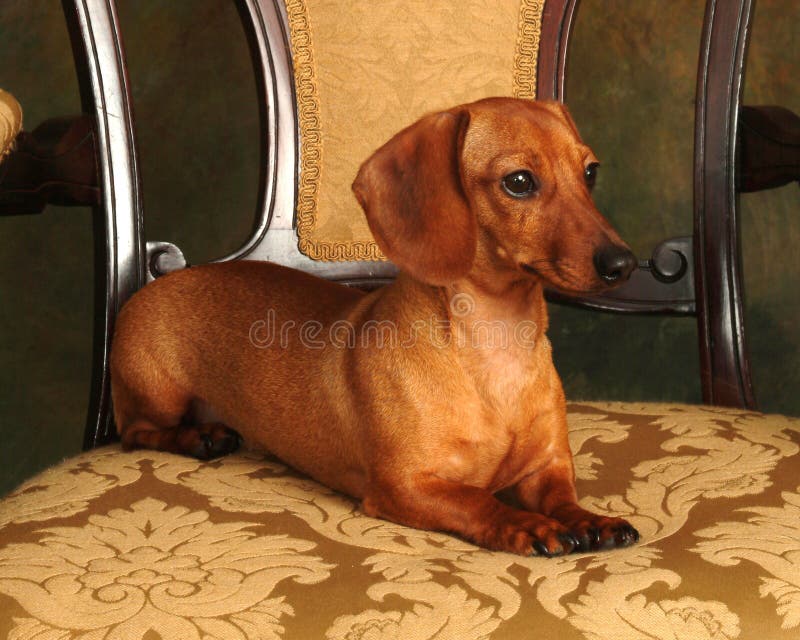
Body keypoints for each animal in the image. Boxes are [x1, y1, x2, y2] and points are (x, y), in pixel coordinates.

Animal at [109, 97, 640, 556]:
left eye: (590, 172)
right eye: (519, 181)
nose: (624, 263)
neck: (497, 347)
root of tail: (171, 276)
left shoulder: (547, 468)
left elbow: (562, 499)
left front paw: (589, 519)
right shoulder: (404, 485)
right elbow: (476, 499)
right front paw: (525, 524)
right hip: (156, 393)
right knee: (137, 432)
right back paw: (198, 438)